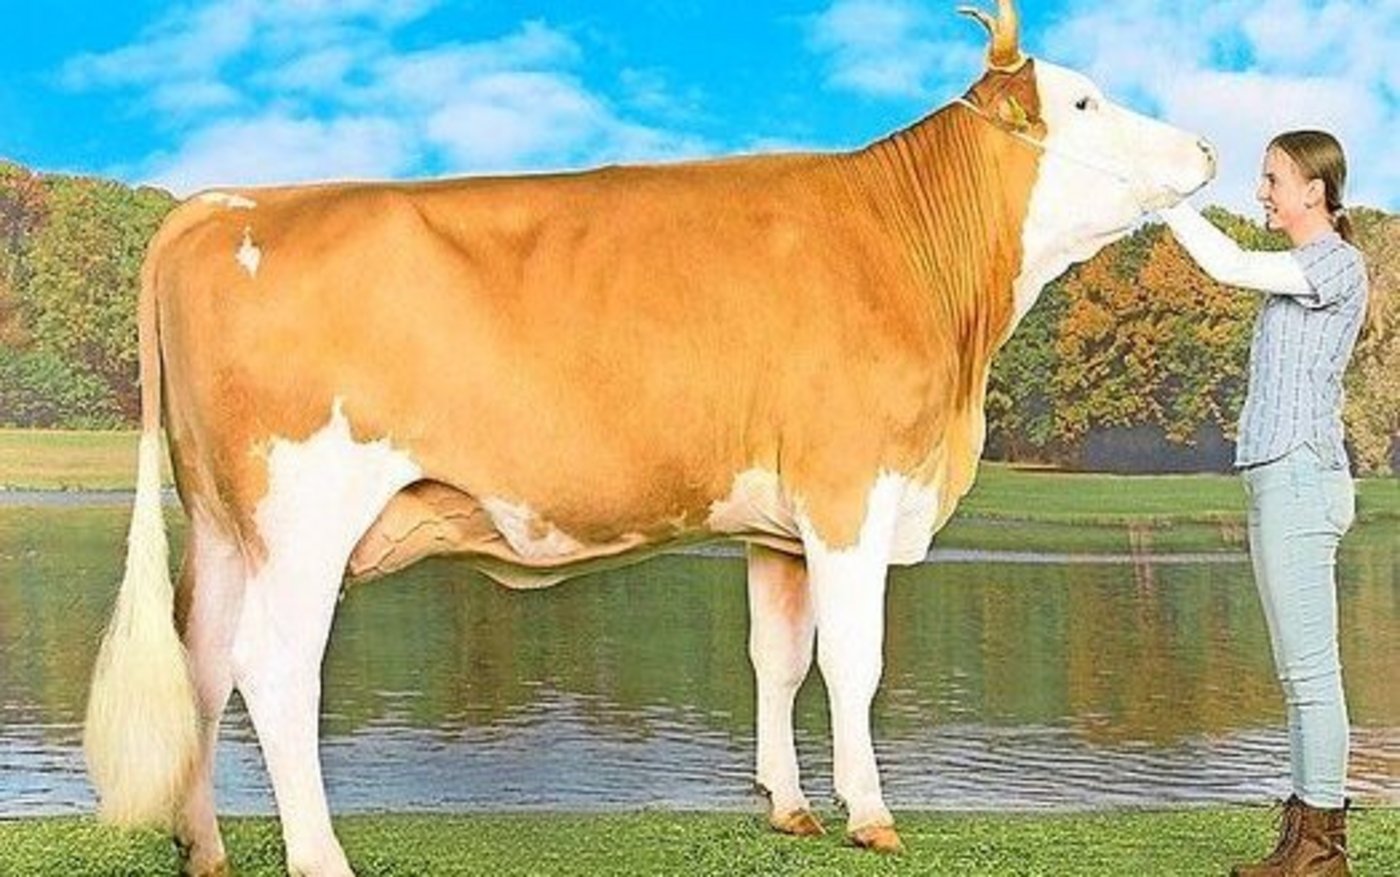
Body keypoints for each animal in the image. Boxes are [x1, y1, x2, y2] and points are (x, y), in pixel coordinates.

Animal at [84, 2, 1215, 874]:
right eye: (1083, 101)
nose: (1206, 149)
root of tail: (224, 201)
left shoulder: (775, 523)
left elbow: (777, 659)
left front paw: (788, 806)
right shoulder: (849, 490)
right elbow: (854, 660)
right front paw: (870, 815)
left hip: (226, 523)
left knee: (200, 660)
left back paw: (204, 847)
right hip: (304, 517)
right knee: (273, 670)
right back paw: (319, 855)